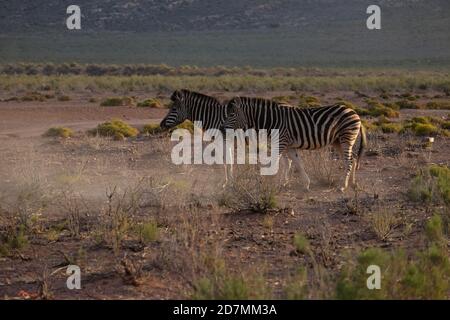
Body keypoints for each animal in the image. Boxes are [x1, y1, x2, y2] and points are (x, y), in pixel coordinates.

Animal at [221, 96, 366, 191]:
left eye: (232, 114)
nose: (222, 129)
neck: (271, 120)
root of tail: (354, 112)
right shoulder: (288, 145)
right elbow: (297, 163)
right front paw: (305, 183)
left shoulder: (281, 142)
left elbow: (276, 162)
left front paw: (273, 184)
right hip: (338, 141)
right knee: (352, 159)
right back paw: (352, 183)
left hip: (346, 138)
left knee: (349, 160)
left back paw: (343, 186)